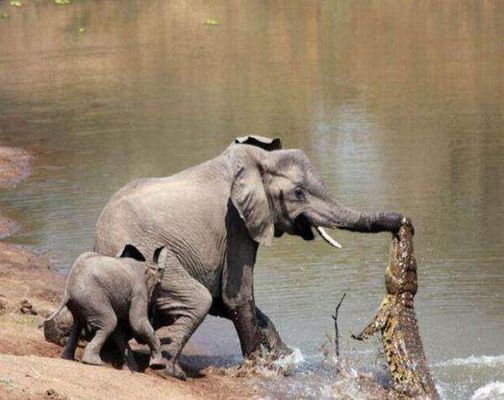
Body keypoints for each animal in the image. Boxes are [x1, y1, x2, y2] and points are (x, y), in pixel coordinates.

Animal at [93, 136, 402, 380]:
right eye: (298, 192)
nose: (402, 221)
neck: (258, 161)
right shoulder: (236, 224)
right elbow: (235, 297)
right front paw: (260, 368)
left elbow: (226, 300)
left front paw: (286, 358)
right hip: (148, 256)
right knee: (198, 299)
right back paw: (170, 371)